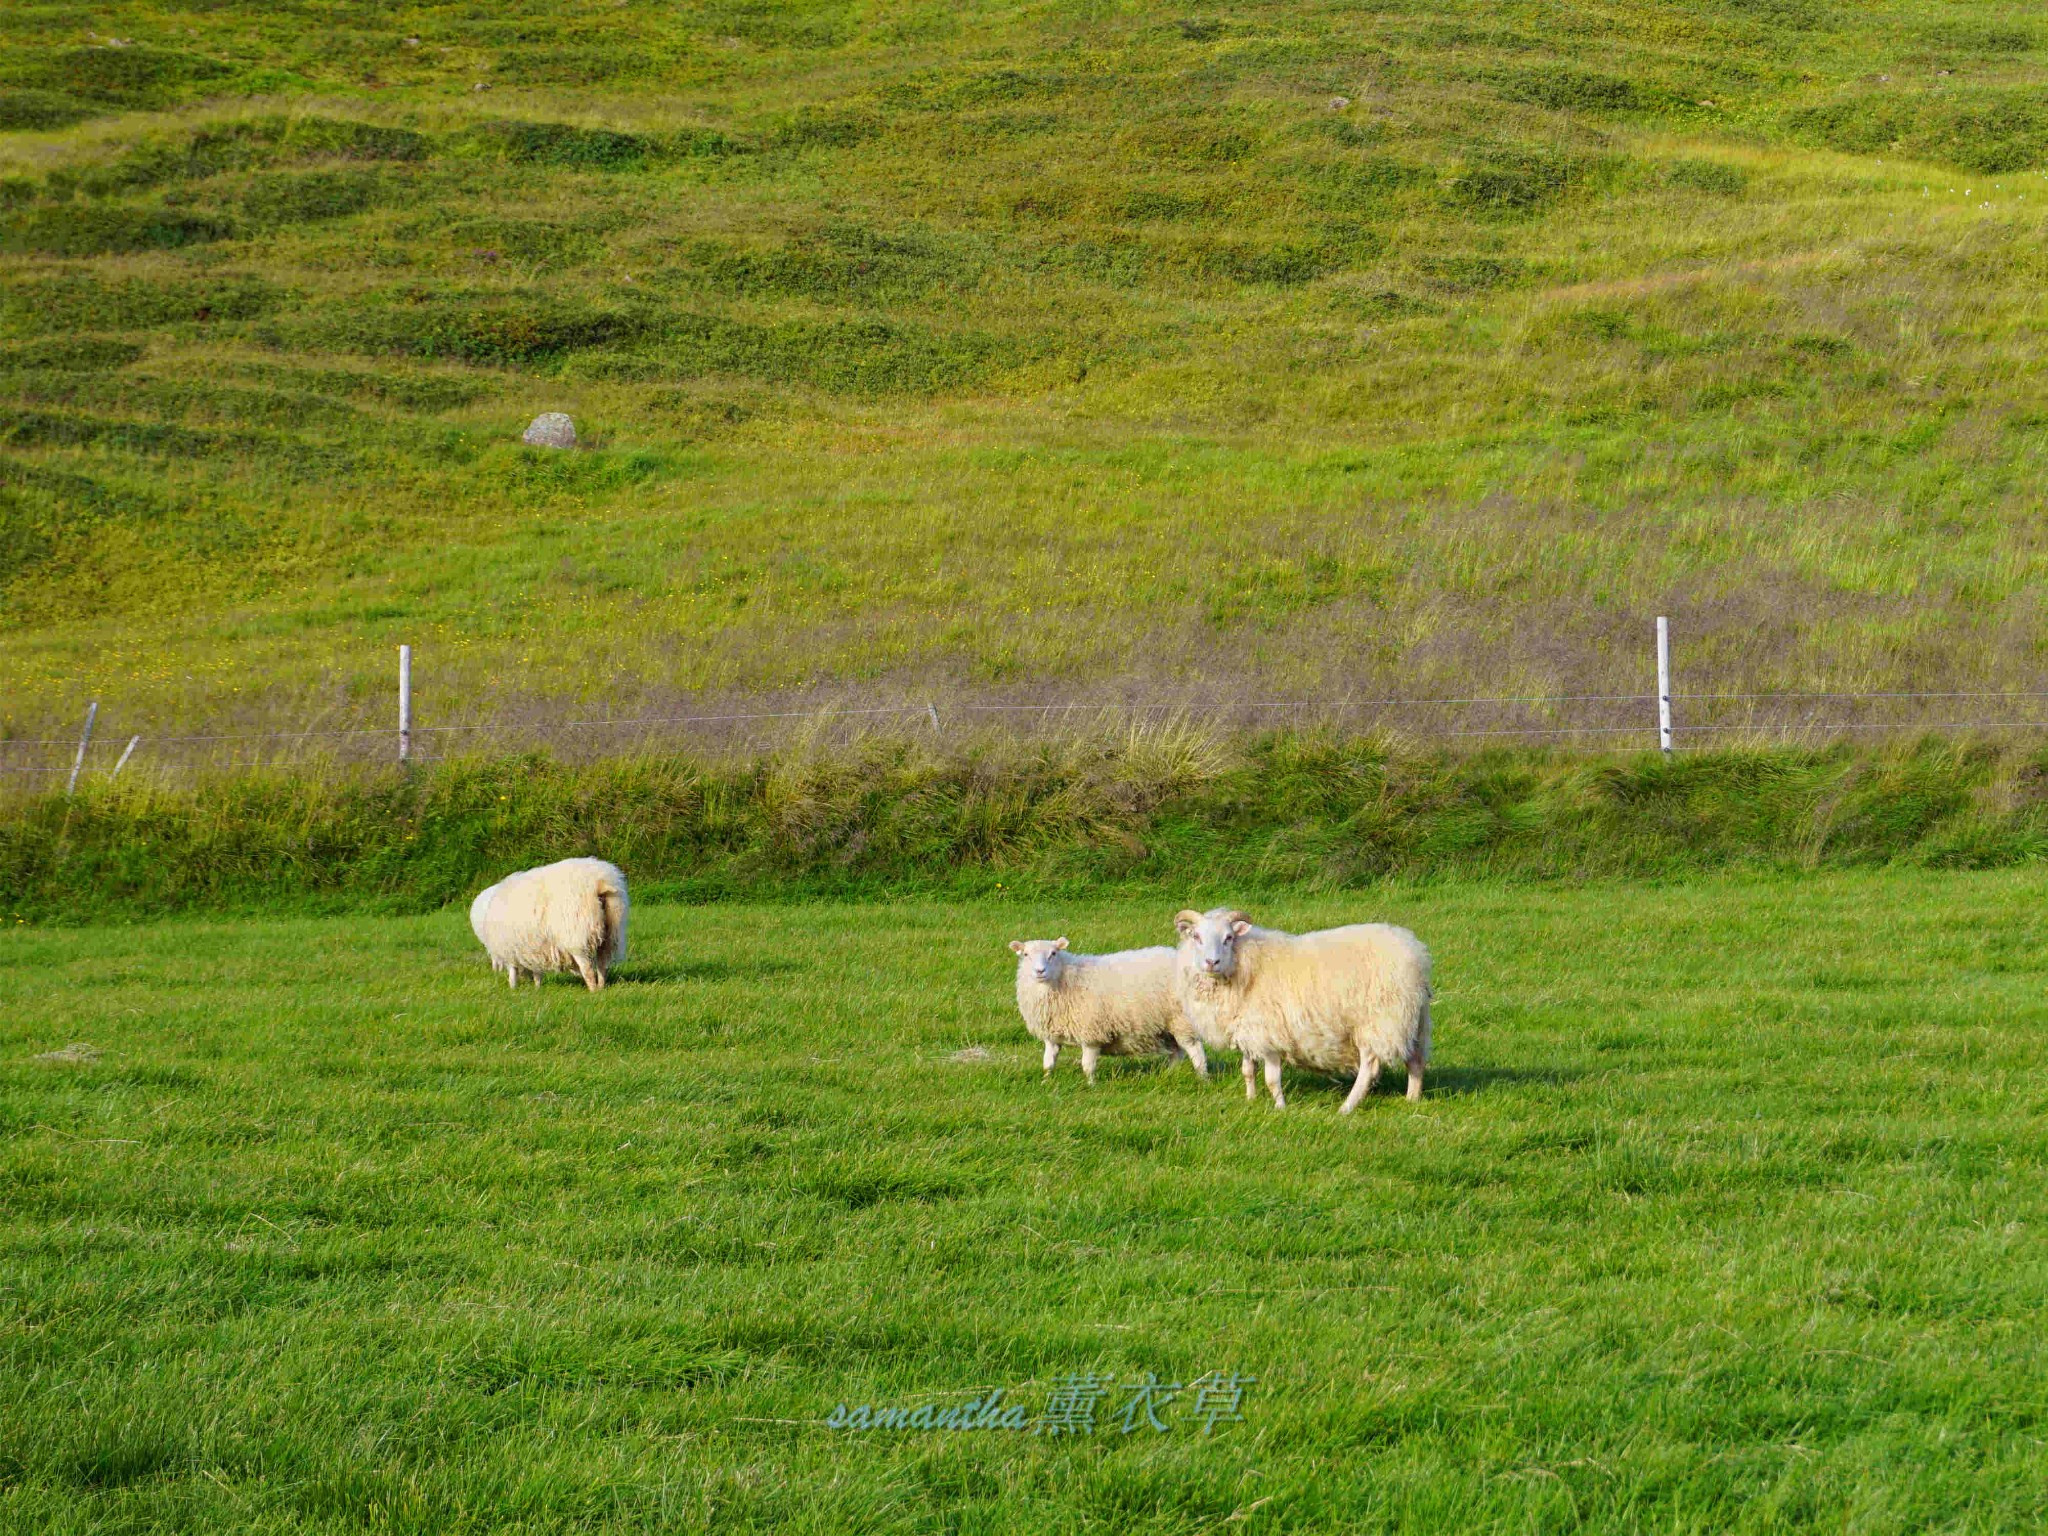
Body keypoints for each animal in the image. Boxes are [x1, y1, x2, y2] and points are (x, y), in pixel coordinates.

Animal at [468, 860, 626, 991]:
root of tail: (600, 882)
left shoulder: (510, 948)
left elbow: (513, 971)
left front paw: (513, 988)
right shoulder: (534, 948)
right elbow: (536, 971)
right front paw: (537, 987)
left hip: (576, 935)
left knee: (587, 969)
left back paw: (593, 990)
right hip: (612, 933)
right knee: (602, 965)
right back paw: (601, 987)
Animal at [1011, 933, 1204, 1089]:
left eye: (1053, 953)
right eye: (1026, 954)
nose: (1040, 971)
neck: (1067, 978)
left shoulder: (1091, 1033)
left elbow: (1087, 1066)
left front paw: (1091, 1086)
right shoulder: (1052, 1037)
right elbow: (1048, 1063)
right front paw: (1046, 1081)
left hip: (1182, 1019)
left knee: (1195, 1051)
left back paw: (1203, 1078)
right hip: (1168, 1026)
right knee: (1177, 1052)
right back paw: (1170, 1074)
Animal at [1179, 909, 1433, 1114]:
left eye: (1229, 937)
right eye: (1196, 937)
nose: (1212, 962)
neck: (1247, 963)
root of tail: (1416, 955)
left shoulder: (1269, 1034)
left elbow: (1272, 1079)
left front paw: (1280, 1108)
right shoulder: (1249, 1031)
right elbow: (1248, 1070)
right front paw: (1251, 1100)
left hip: (1378, 1020)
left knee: (1369, 1067)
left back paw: (1346, 1108)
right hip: (1412, 1021)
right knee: (1416, 1061)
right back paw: (1411, 1100)